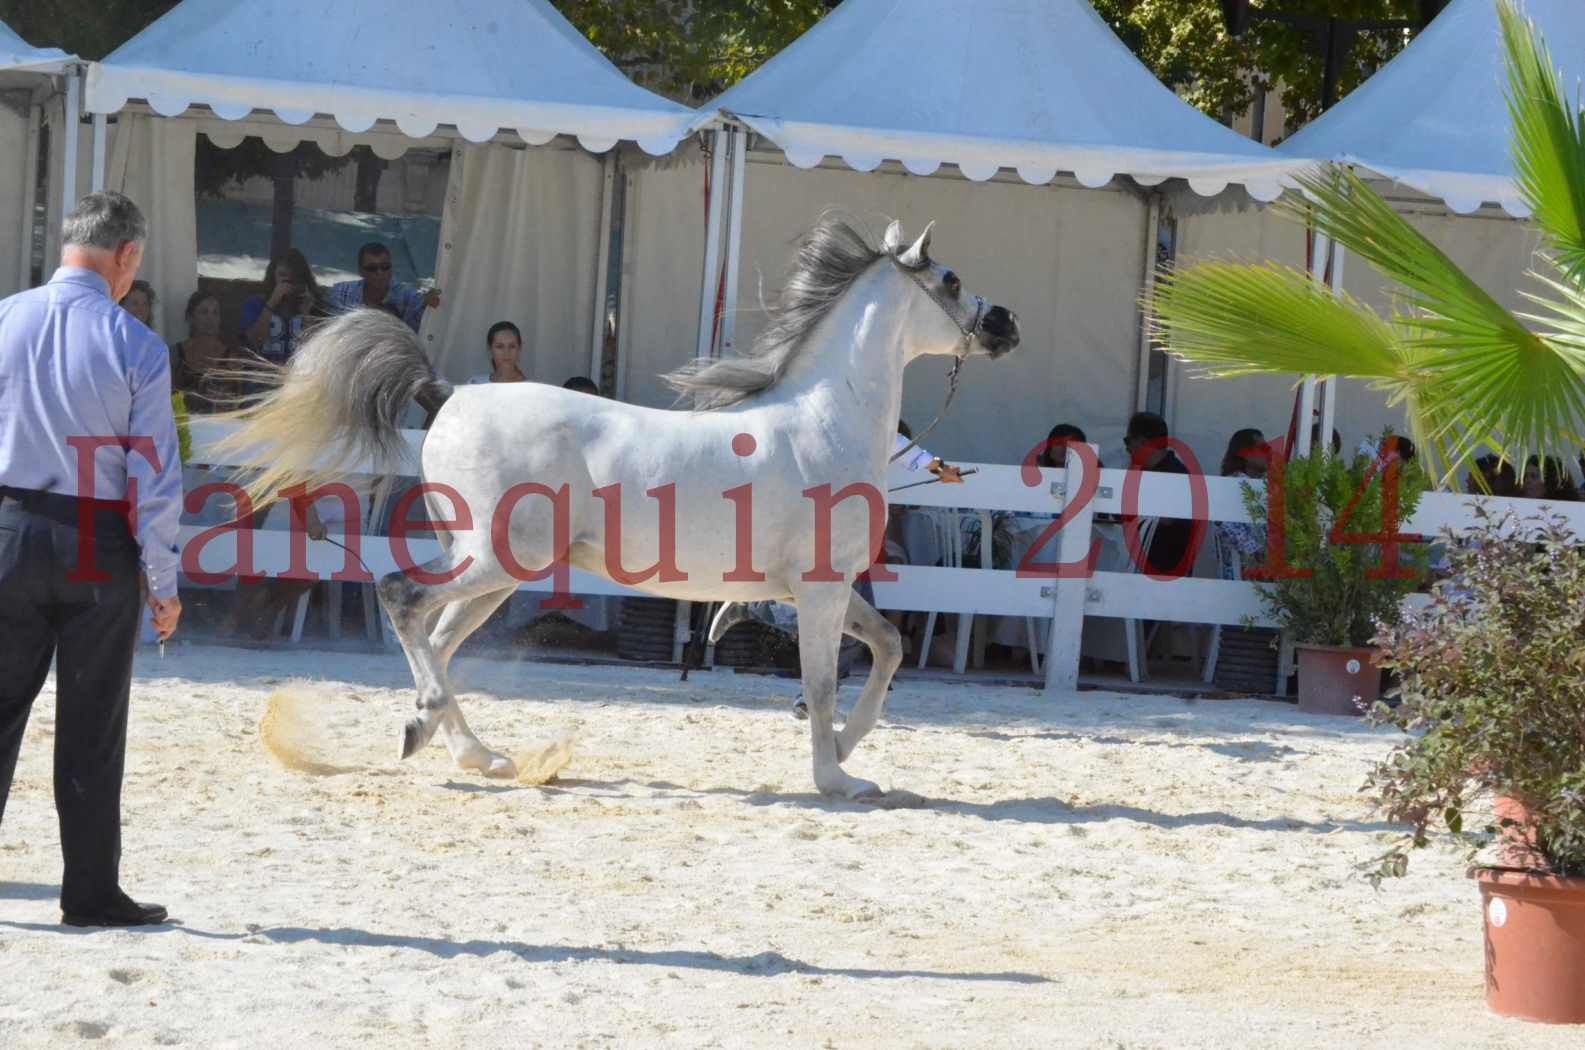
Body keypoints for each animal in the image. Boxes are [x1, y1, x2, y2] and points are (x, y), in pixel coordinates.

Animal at [217, 217, 1014, 802]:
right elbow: (822, 683)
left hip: (494, 569)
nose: (1005, 323)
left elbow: (888, 648)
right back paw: (443, 733)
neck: (825, 419)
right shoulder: (819, 592)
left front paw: (845, 752)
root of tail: (447, 394)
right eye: (949, 280)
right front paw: (835, 778)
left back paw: (471, 751)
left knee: (438, 640)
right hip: (497, 560)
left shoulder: (827, 589)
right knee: (402, 600)